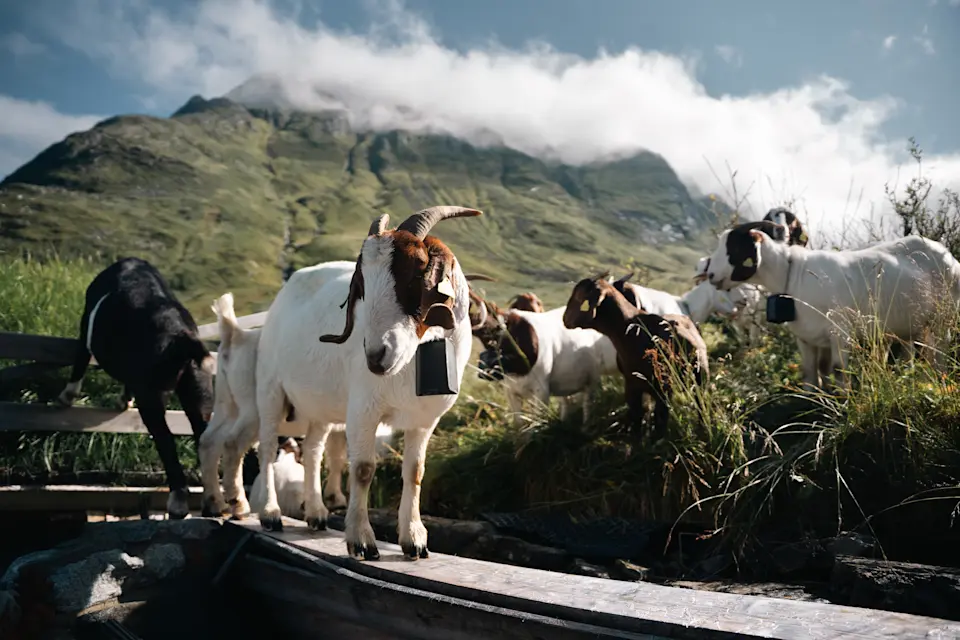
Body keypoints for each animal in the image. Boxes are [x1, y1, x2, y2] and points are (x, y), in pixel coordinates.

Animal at [57, 257, 215, 519]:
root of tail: (180, 338)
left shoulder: (85, 329)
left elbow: (80, 360)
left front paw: (64, 398)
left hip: (151, 396)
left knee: (165, 441)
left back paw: (178, 506)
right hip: (199, 390)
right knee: (204, 435)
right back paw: (214, 505)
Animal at [255, 206, 481, 561]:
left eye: (417, 271)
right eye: (361, 285)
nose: (376, 356)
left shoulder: (424, 420)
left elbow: (415, 472)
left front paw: (414, 539)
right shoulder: (363, 409)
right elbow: (362, 469)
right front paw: (361, 540)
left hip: (319, 405)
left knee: (313, 450)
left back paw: (316, 514)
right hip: (270, 389)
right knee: (266, 447)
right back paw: (271, 514)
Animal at [563, 273, 709, 435]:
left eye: (580, 297)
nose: (565, 318)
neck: (629, 329)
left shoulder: (663, 388)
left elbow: (660, 418)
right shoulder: (632, 384)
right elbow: (637, 417)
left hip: (699, 378)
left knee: (701, 404)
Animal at [704, 220, 960, 388]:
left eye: (734, 248)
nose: (711, 275)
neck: (791, 274)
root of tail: (948, 255)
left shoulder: (840, 332)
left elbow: (838, 370)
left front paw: (843, 405)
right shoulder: (808, 338)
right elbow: (813, 372)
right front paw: (818, 405)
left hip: (943, 317)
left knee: (940, 350)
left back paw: (939, 381)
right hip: (913, 323)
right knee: (919, 351)